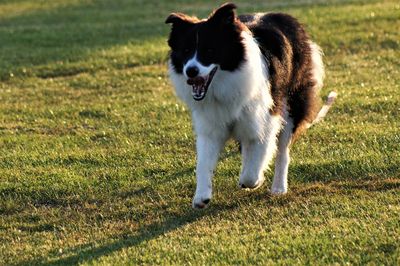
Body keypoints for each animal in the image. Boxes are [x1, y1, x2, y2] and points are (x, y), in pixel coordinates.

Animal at [164, 3, 336, 209]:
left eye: (210, 51)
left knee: (282, 150)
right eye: (186, 51)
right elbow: (203, 163)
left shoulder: (266, 119)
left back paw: (279, 187)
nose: (190, 71)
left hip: (291, 105)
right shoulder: (211, 127)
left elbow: (254, 167)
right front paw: (201, 196)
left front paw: (255, 179)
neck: (224, 83)